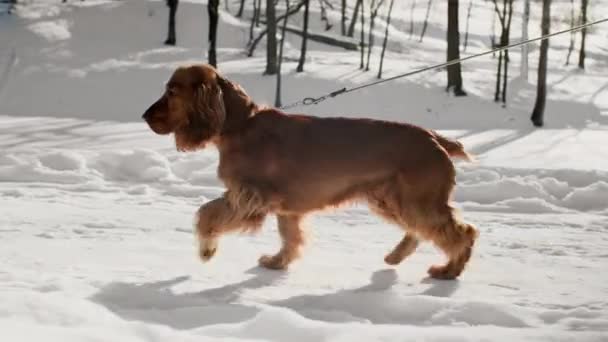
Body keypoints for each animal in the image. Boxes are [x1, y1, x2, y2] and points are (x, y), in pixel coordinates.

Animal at [142, 63, 480, 278]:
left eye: (172, 91)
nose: (144, 115)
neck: (239, 125)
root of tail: (435, 138)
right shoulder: (285, 208)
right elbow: (290, 238)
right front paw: (277, 262)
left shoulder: (247, 197)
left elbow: (206, 213)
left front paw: (206, 248)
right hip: (391, 199)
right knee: (422, 231)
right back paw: (396, 256)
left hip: (415, 200)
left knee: (462, 233)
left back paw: (449, 270)